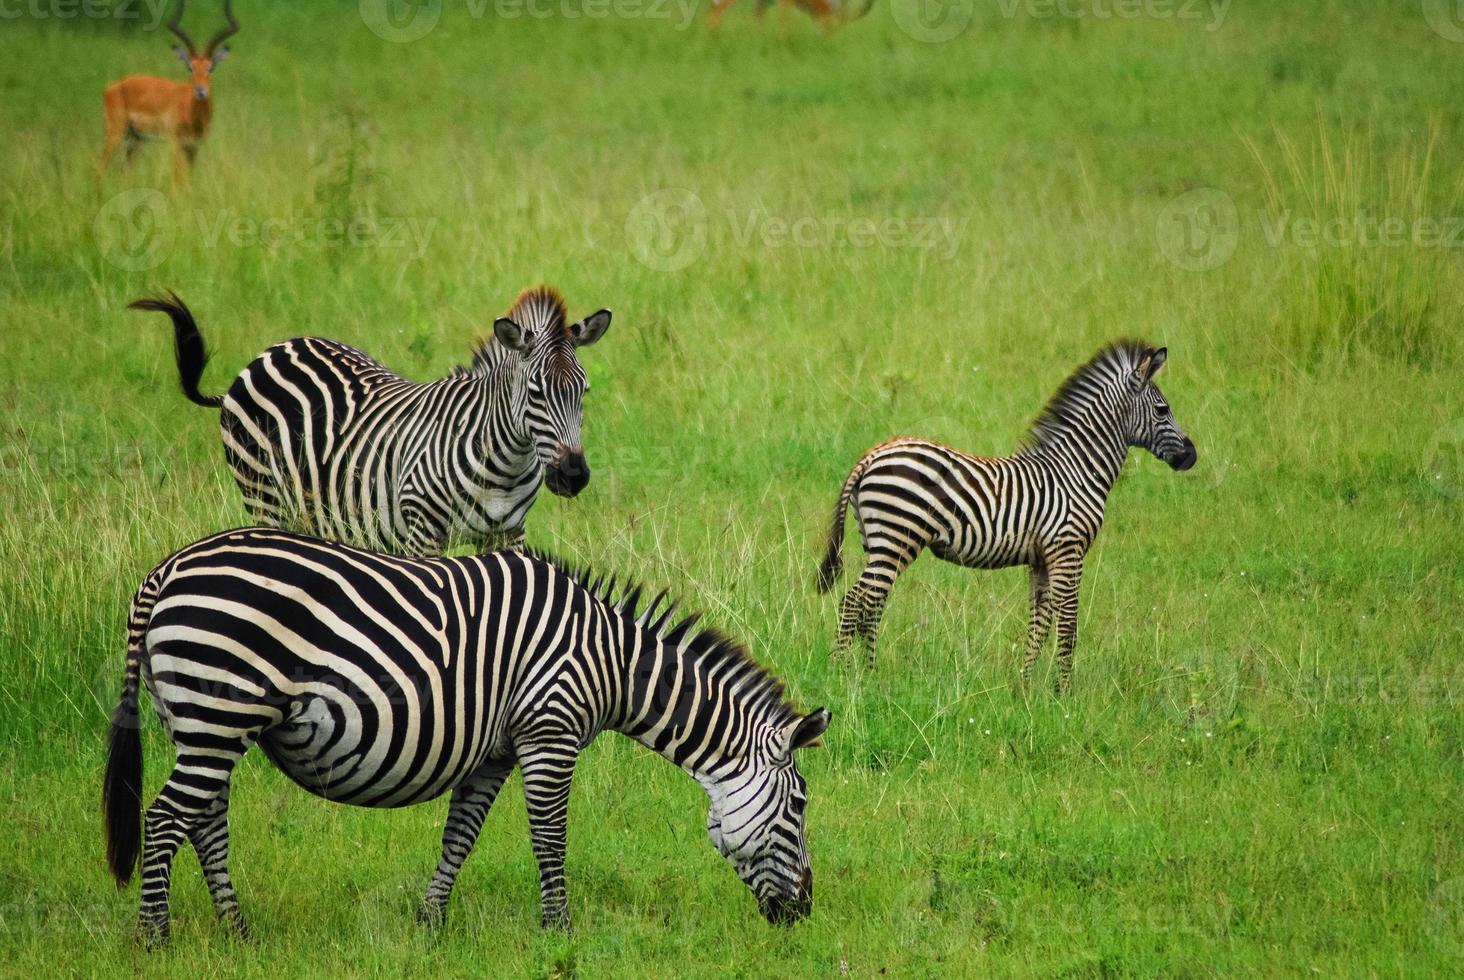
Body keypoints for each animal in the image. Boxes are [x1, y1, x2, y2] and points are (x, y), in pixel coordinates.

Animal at [95, 0, 238, 188]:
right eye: (190, 67)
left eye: (211, 67)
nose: (200, 90)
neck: (191, 113)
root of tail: (112, 87)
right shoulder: (175, 142)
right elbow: (176, 179)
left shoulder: (193, 146)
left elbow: (189, 179)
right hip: (116, 132)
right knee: (99, 167)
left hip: (135, 139)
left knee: (125, 174)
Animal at [100, 527, 837, 949]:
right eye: (800, 805)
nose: (804, 913)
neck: (611, 661)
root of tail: (166, 571)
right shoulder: (550, 731)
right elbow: (550, 836)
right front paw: (560, 932)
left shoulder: (495, 752)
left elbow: (461, 834)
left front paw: (430, 924)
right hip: (217, 714)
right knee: (164, 819)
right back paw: (154, 939)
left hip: (200, 724)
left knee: (204, 821)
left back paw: (238, 932)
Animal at [130, 287, 611, 553]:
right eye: (536, 393)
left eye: (584, 392)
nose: (574, 476)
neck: (504, 465)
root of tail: (272, 350)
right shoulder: (422, 534)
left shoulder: (510, 534)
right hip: (263, 496)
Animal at [819, 339, 1194, 691]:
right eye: (1162, 409)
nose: (1192, 455)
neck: (1076, 472)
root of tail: (873, 454)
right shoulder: (1068, 549)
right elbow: (1068, 622)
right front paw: (1063, 691)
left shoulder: (1041, 559)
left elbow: (1040, 622)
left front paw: (1026, 686)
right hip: (897, 535)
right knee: (855, 601)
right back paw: (842, 673)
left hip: (879, 540)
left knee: (872, 604)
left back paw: (869, 674)